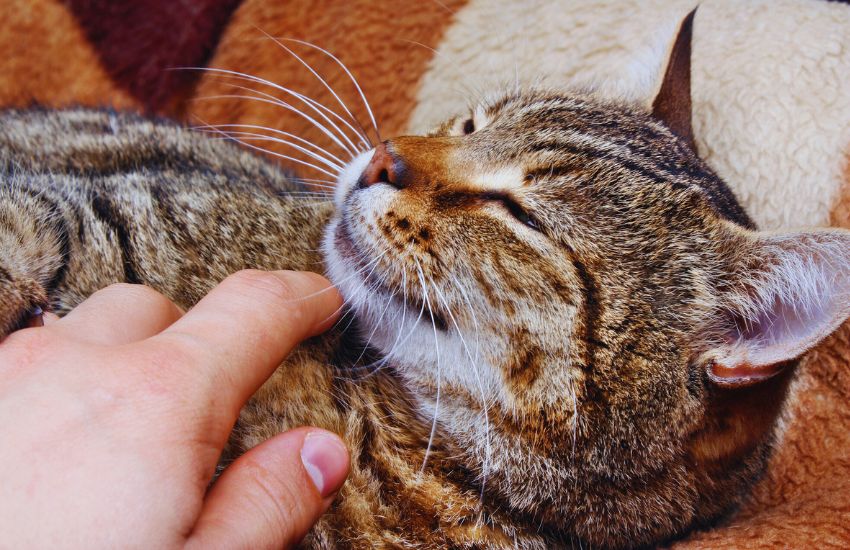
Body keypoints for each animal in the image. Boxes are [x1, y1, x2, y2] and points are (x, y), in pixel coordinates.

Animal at [1, 12, 848, 550]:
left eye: (520, 214)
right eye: (471, 124)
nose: (384, 156)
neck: (395, 439)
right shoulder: (79, 212)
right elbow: (25, 231)